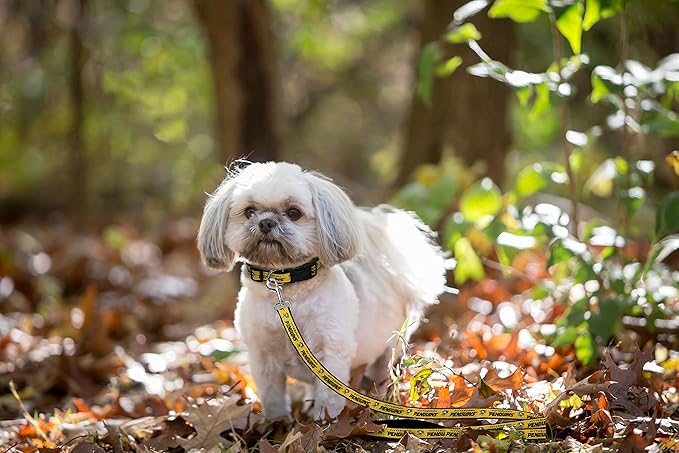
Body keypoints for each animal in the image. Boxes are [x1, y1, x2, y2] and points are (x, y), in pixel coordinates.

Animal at [197, 161, 446, 418]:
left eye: (294, 213)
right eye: (249, 211)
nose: (266, 222)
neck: (287, 288)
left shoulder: (331, 353)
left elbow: (328, 398)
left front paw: (324, 422)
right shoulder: (263, 357)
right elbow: (273, 397)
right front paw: (277, 422)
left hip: (389, 348)